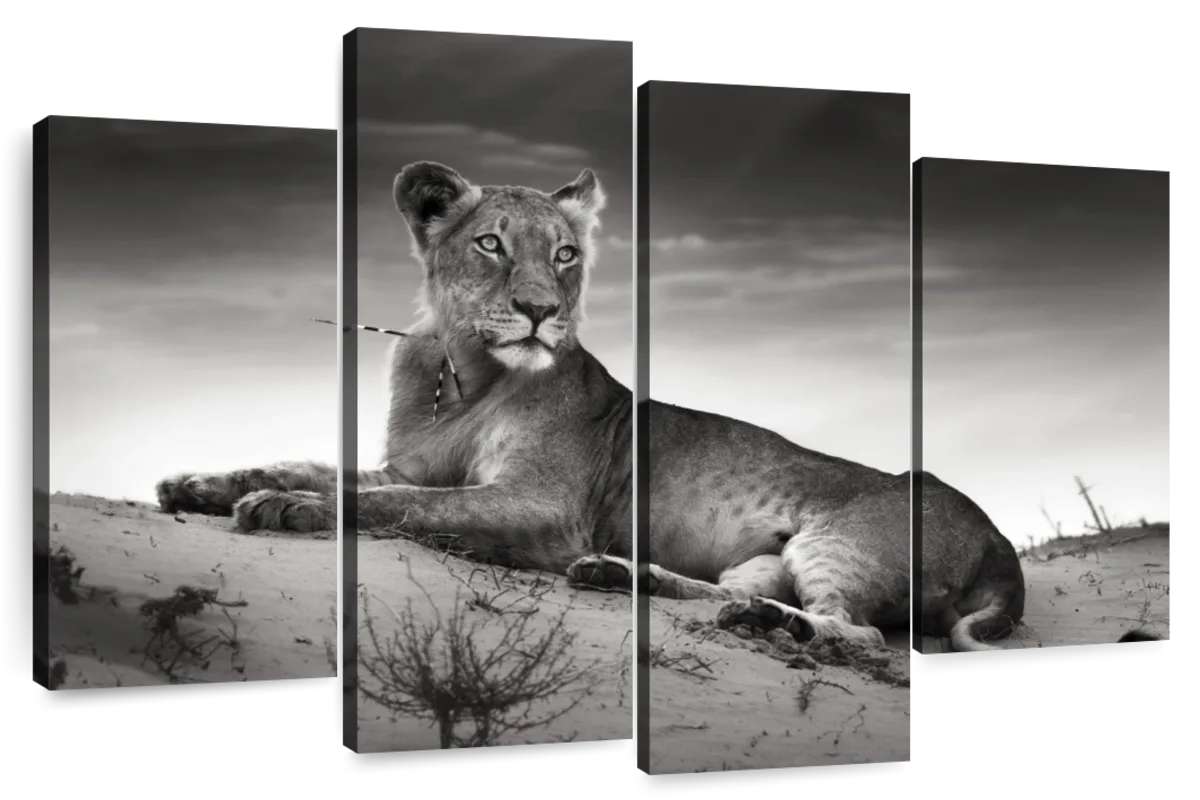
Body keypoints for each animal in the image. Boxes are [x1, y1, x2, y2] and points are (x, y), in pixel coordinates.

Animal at [155, 162, 634, 577]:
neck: (467, 377)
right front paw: (198, 484)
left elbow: (403, 501)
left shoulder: (543, 503)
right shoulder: (408, 468)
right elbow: (313, 470)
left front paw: (288, 504)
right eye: (490, 244)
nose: (540, 309)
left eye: (565, 254)